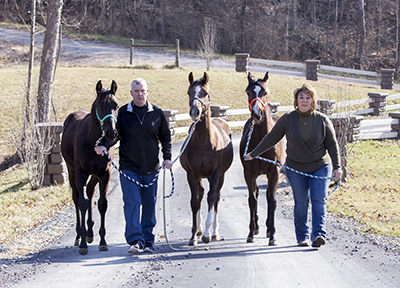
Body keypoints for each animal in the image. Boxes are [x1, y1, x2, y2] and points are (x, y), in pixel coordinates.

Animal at [180, 71, 233, 245]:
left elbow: (212, 198)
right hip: (199, 177)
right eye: (189, 92)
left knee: (216, 198)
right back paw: (199, 229)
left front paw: (207, 235)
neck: (204, 142)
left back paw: (214, 232)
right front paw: (193, 235)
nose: (194, 112)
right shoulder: (192, 174)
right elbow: (195, 201)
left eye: (206, 93)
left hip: (221, 176)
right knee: (201, 194)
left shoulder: (215, 174)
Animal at [239, 72, 286, 245]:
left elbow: (271, 200)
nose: (257, 114)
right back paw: (257, 227)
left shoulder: (274, 171)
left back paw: (267, 228)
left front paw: (272, 235)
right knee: (257, 193)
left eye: (265, 92)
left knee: (267, 196)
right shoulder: (248, 172)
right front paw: (250, 233)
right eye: (248, 92)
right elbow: (252, 200)